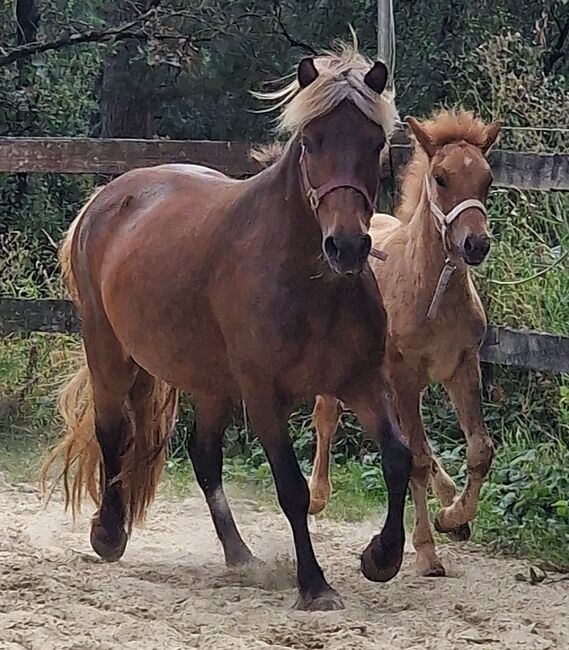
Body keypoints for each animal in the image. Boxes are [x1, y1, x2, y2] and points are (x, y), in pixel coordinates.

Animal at [44, 45, 408, 608]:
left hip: (210, 382)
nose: (346, 247)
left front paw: (381, 558)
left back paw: (239, 554)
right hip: (107, 351)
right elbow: (291, 488)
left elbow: (397, 459)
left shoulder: (363, 382)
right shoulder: (263, 395)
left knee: (203, 455)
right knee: (114, 433)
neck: (309, 284)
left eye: (375, 144)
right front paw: (314, 585)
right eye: (311, 142)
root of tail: (107, 198)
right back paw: (109, 533)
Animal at [308, 109, 500, 576]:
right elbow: (417, 458)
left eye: (487, 179)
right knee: (327, 416)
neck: (432, 290)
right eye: (441, 178)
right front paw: (428, 550)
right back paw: (316, 495)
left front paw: (453, 517)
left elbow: (478, 450)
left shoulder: (461, 366)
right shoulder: (405, 376)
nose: (476, 244)